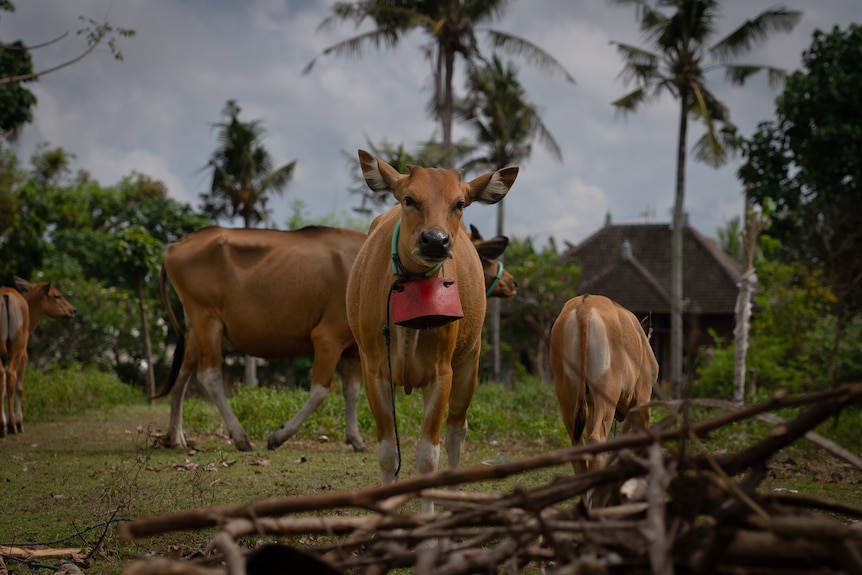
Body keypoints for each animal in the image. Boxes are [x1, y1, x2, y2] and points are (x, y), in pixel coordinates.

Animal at [0, 278, 77, 436]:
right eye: (56, 295)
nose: (73, 310)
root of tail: (5, 296)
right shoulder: (24, 356)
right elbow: (20, 388)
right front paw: (19, 423)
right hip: (18, 345)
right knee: (10, 376)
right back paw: (12, 426)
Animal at [552, 294, 660, 474]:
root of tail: (584, 305)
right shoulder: (643, 396)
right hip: (607, 391)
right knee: (597, 439)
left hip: (567, 392)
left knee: (578, 444)